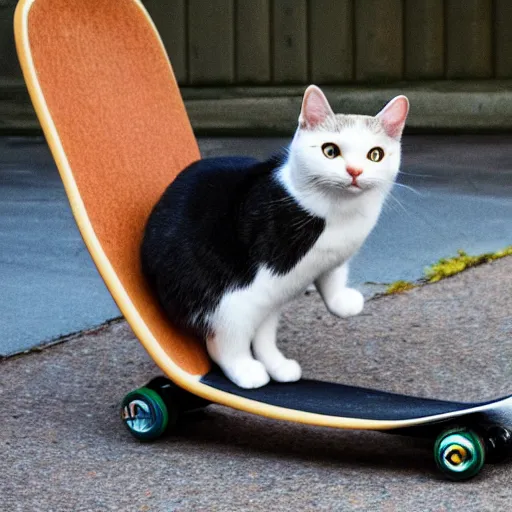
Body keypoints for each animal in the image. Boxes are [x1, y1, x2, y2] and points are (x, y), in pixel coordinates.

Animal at [142, 85, 410, 388]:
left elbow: (332, 275)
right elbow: (235, 334)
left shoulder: (332, 259)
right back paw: (247, 371)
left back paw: (279, 367)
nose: (355, 171)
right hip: (224, 294)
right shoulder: (254, 286)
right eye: (330, 151)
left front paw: (341, 302)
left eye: (375, 155)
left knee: (262, 334)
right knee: (224, 341)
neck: (343, 213)